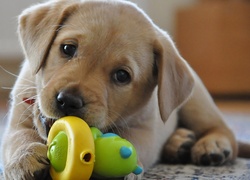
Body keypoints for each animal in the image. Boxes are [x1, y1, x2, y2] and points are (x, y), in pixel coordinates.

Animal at [0, 0, 238, 179]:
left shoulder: (146, 130)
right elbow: (19, 138)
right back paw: (179, 143)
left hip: (197, 102)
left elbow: (132, 142)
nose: (68, 101)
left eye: (122, 76)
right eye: (67, 48)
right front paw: (25, 158)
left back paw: (212, 145)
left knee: (224, 131)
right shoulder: (17, 120)